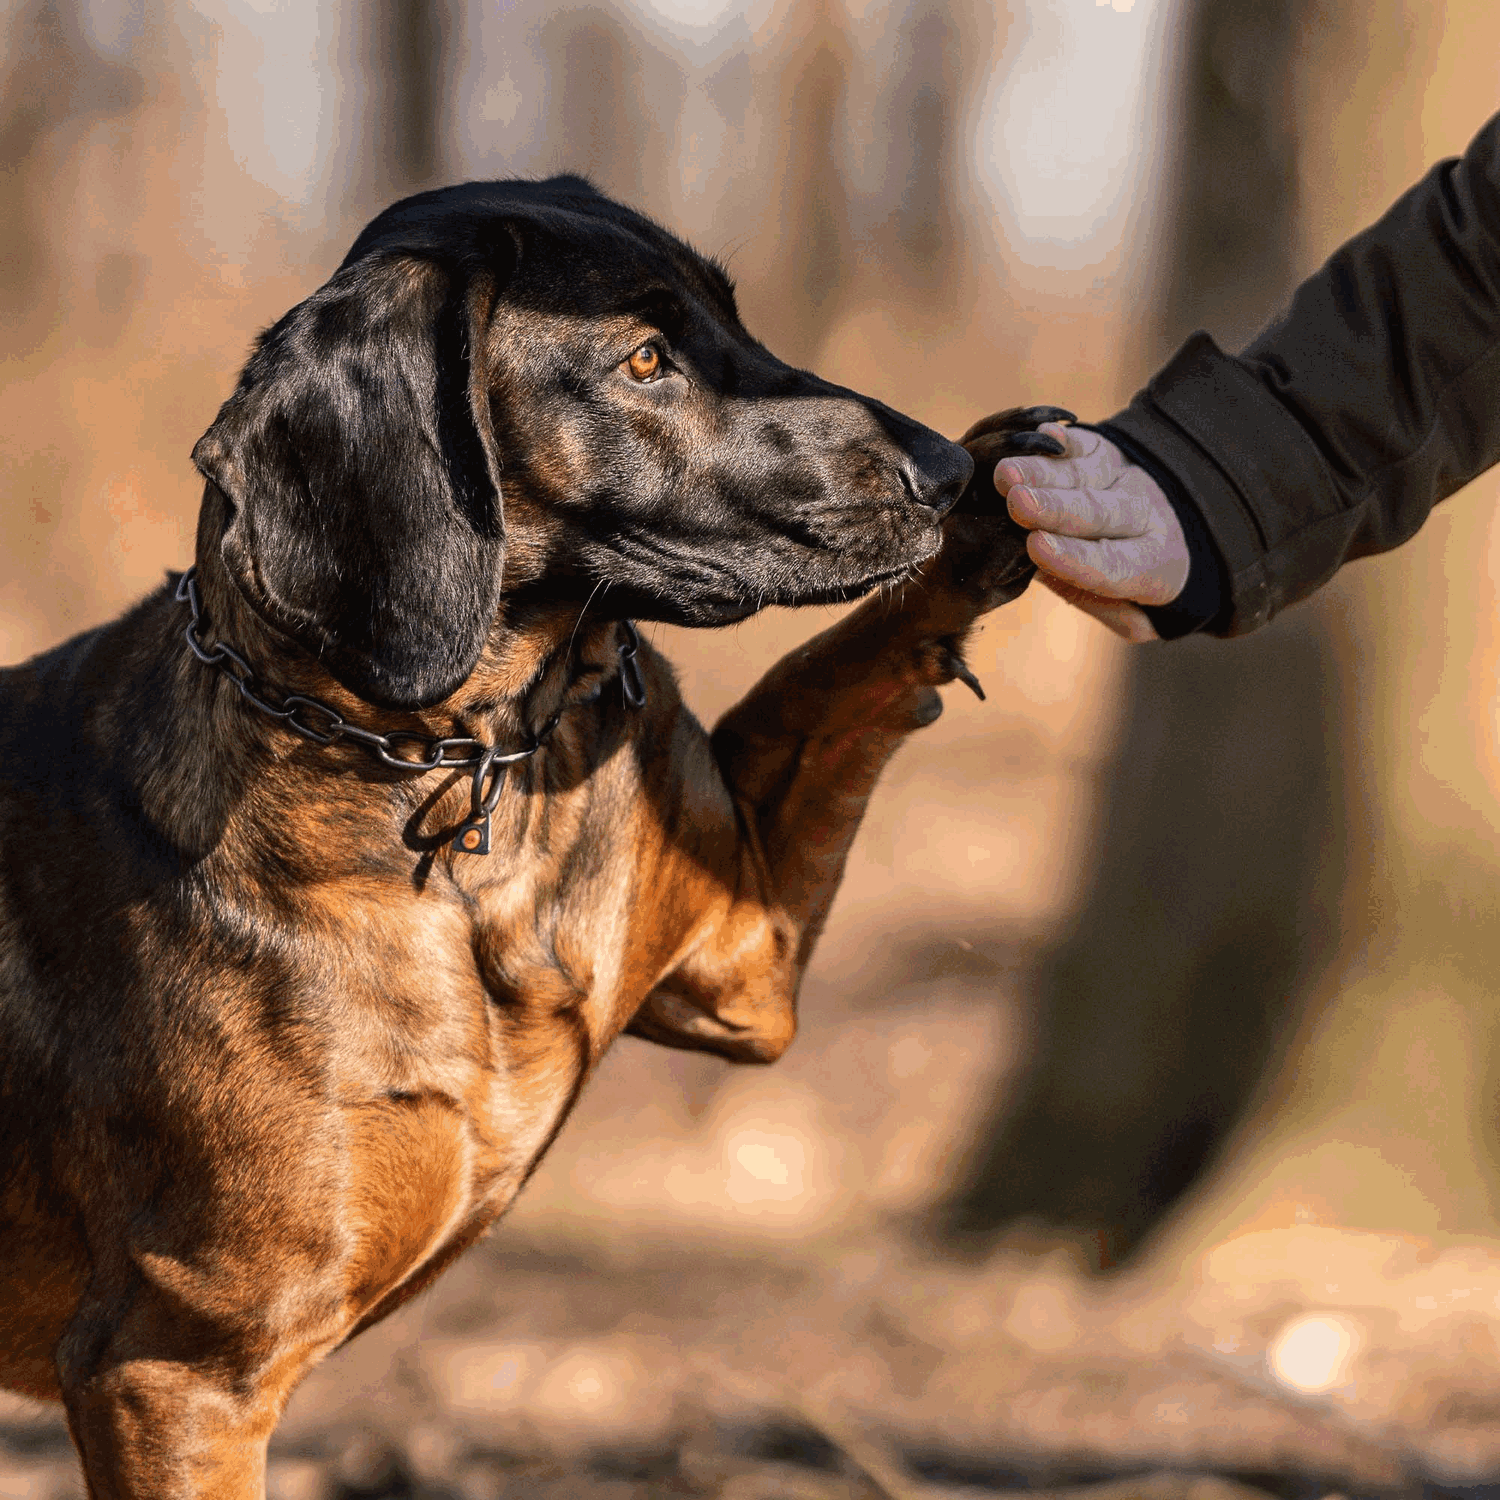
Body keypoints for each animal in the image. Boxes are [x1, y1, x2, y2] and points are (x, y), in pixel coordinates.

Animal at [0, 178, 1068, 1500]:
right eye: (645, 360)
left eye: (734, 320)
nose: (940, 469)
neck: (462, 767)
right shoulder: (180, 1373)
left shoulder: (747, 962)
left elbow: (834, 668)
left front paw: (992, 516)